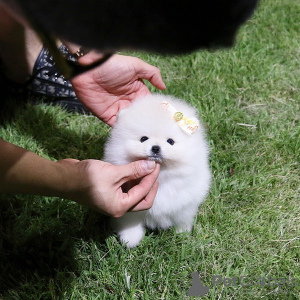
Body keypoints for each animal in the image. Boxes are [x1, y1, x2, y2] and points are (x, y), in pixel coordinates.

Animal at [104, 94, 212, 248]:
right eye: (143, 139)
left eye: (170, 141)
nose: (155, 148)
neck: (162, 176)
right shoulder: (130, 210)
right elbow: (131, 221)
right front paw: (130, 239)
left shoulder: (185, 204)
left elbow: (182, 218)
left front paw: (181, 233)